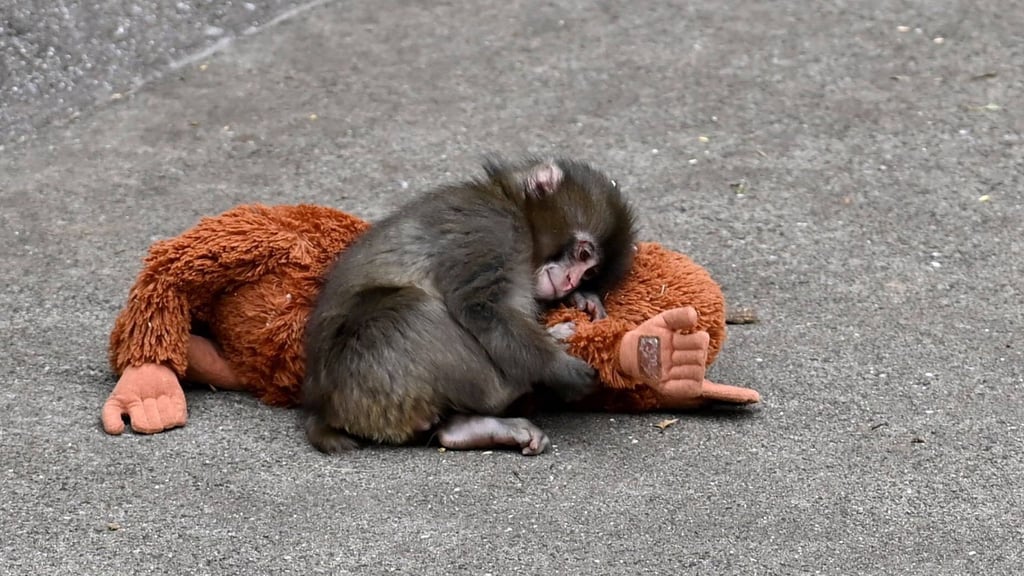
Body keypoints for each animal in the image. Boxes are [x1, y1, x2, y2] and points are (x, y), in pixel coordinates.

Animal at [302, 157, 637, 455]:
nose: (570, 282)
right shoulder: (492, 229)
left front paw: (583, 300)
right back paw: (514, 385)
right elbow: (481, 306)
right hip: (365, 374)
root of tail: (324, 409)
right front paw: (558, 368)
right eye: (583, 254)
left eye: (590, 273)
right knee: (412, 309)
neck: (513, 207)